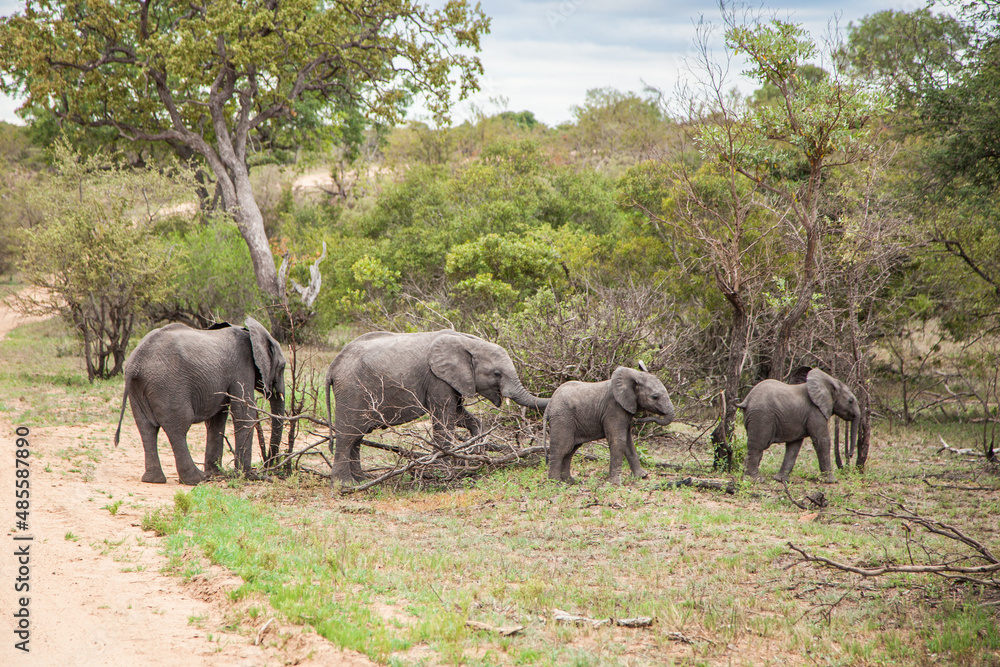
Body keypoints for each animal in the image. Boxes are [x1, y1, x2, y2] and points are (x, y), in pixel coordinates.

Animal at [114, 317, 286, 485]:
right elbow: (244, 413)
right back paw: (197, 479)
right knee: (178, 427)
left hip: (138, 389)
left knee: (147, 429)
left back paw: (154, 480)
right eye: (283, 367)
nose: (268, 468)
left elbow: (217, 420)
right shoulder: (242, 366)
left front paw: (218, 474)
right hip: (168, 386)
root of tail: (135, 363)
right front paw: (249, 476)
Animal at [325, 329, 549, 484]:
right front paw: (444, 470)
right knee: (348, 435)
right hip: (352, 391)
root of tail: (332, 367)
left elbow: (459, 415)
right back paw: (345, 485)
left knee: (356, 438)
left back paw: (361, 479)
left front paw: (475, 454)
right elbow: (444, 418)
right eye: (497, 374)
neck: (467, 342)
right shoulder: (437, 379)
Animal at [543, 366, 675, 484]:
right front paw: (616, 483)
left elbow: (628, 442)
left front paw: (642, 476)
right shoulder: (614, 409)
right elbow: (619, 441)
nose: (639, 420)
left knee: (570, 450)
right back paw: (556, 483)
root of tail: (549, 405)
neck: (633, 375)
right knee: (562, 448)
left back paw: (570, 481)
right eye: (655, 397)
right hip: (562, 418)